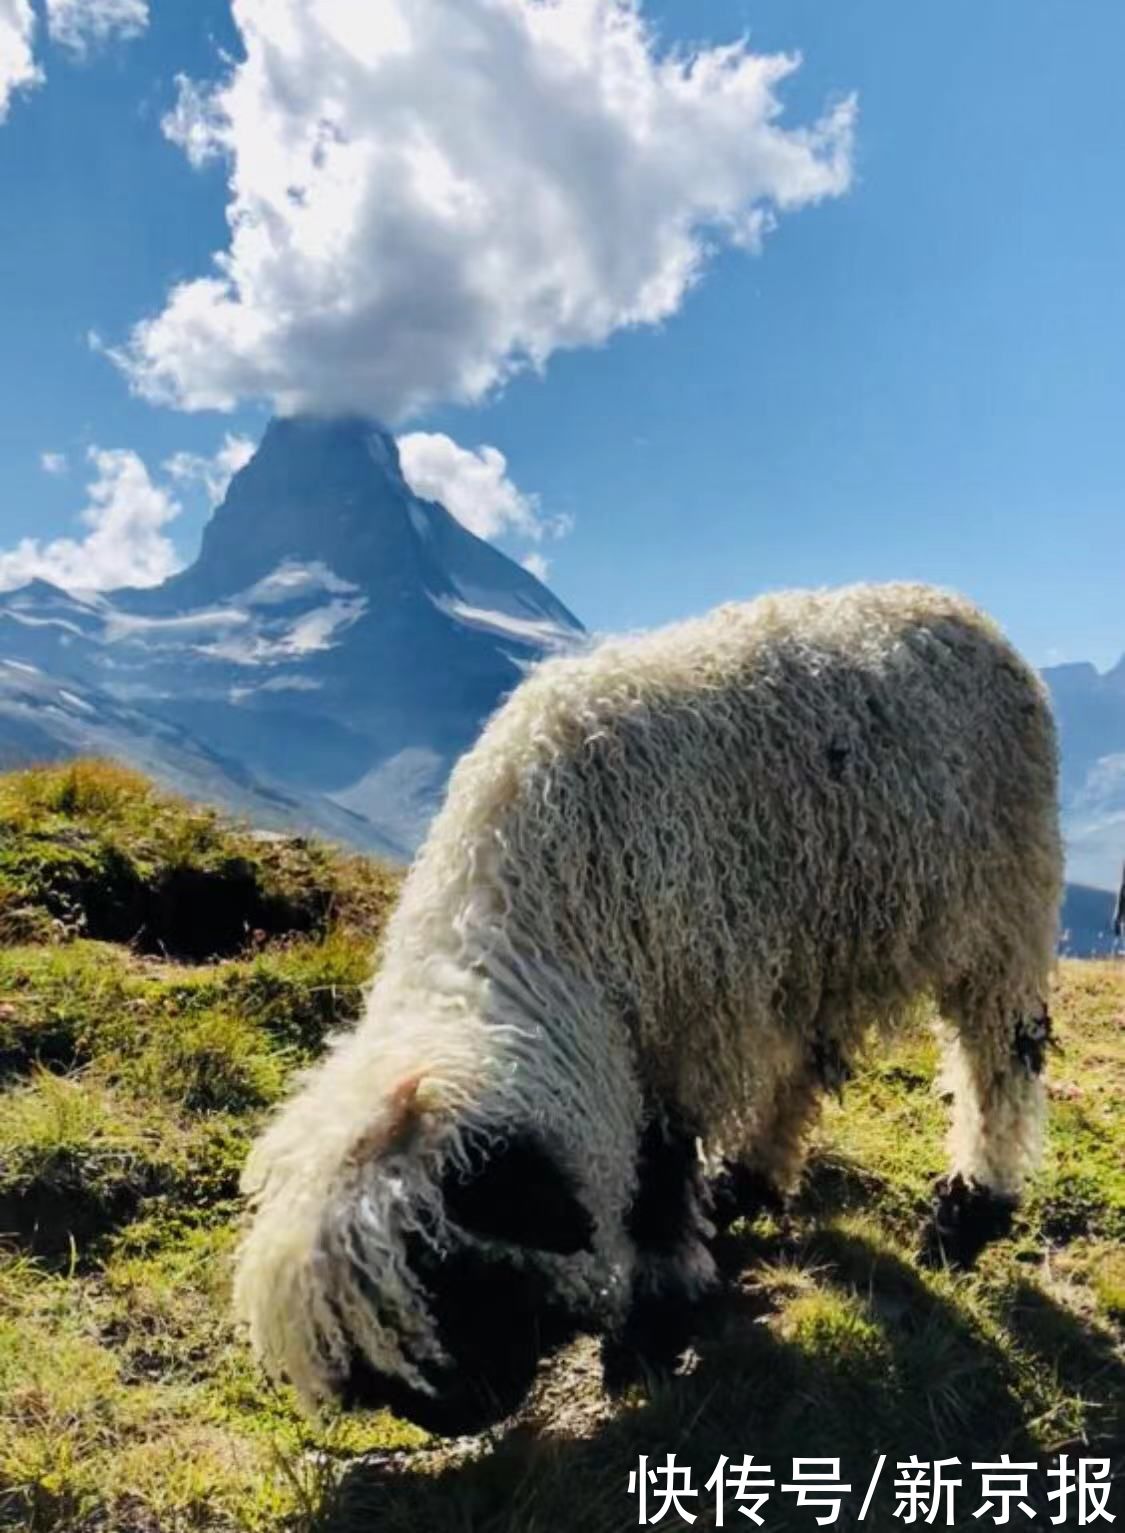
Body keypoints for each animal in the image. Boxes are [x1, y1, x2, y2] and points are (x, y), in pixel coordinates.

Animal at [231, 582, 1066, 1434]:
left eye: (451, 1269)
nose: (454, 1416)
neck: (548, 917)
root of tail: (953, 605)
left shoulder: (683, 1023)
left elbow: (660, 1172)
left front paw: (654, 1321)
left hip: (1002, 898)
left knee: (1001, 1053)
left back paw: (970, 1207)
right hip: (817, 932)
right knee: (806, 1058)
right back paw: (751, 1179)